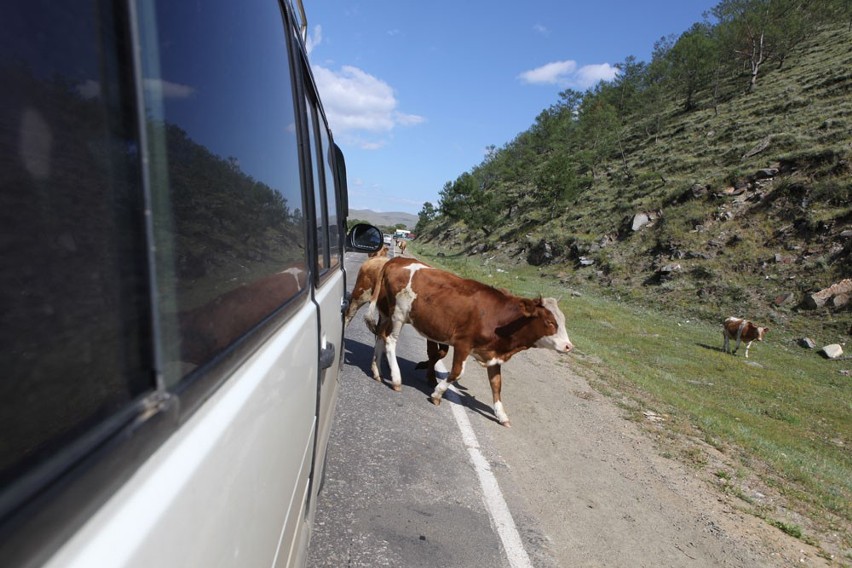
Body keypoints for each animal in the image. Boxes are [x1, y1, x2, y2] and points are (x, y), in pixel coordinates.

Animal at [362, 258, 576, 426]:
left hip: (387, 313)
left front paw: (501, 415)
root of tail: (397, 260)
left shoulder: (493, 354)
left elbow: (497, 384)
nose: (568, 346)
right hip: (398, 315)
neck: (500, 320)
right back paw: (396, 379)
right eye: (550, 322)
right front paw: (437, 393)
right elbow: (457, 372)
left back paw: (377, 371)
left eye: (564, 320)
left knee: (380, 337)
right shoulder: (463, 343)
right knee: (390, 341)